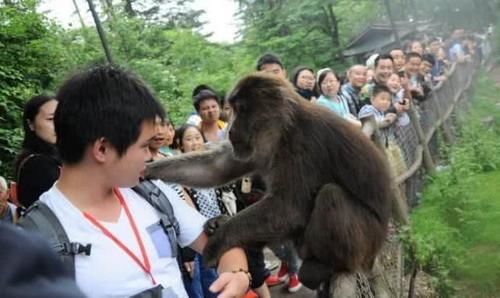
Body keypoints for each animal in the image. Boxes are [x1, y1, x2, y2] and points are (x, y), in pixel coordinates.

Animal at [145, 72, 394, 288]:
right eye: (232, 110)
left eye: (241, 110)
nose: (230, 130)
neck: (283, 130)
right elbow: (216, 168)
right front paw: (150, 169)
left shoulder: (301, 145)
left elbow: (289, 208)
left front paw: (218, 241)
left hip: (367, 242)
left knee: (331, 195)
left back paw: (328, 265)